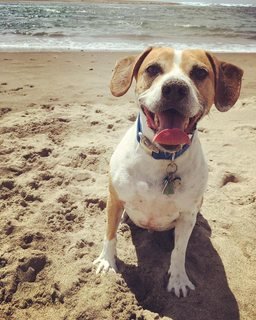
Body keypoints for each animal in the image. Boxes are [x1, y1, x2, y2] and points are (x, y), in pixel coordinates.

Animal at [93, 47, 243, 298]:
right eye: (153, 69)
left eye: (200, 72)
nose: (175, 88)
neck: (164, 157)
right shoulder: (115, 198)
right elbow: (110, 235)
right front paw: (106, 262)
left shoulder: (186, 215)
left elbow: (179, 251)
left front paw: (178, 279)